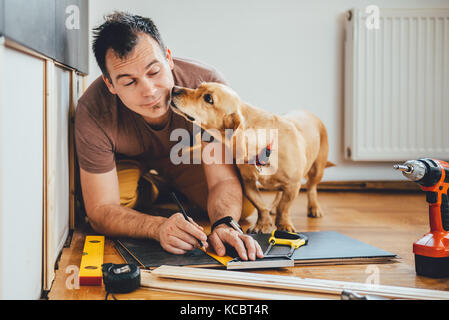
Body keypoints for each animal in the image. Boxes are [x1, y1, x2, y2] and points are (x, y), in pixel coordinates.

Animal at [170, 82, 330, 232]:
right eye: (199, 87)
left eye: (208, 98)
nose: (174, 89)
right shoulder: (248, 183)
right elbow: (261, 206)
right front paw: (262, 224)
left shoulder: (293, 185)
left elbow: (284, 208)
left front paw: (284, 225)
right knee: (279, 193)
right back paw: (273, 207)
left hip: (317, 170)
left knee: (311, 187)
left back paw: (314, 208)